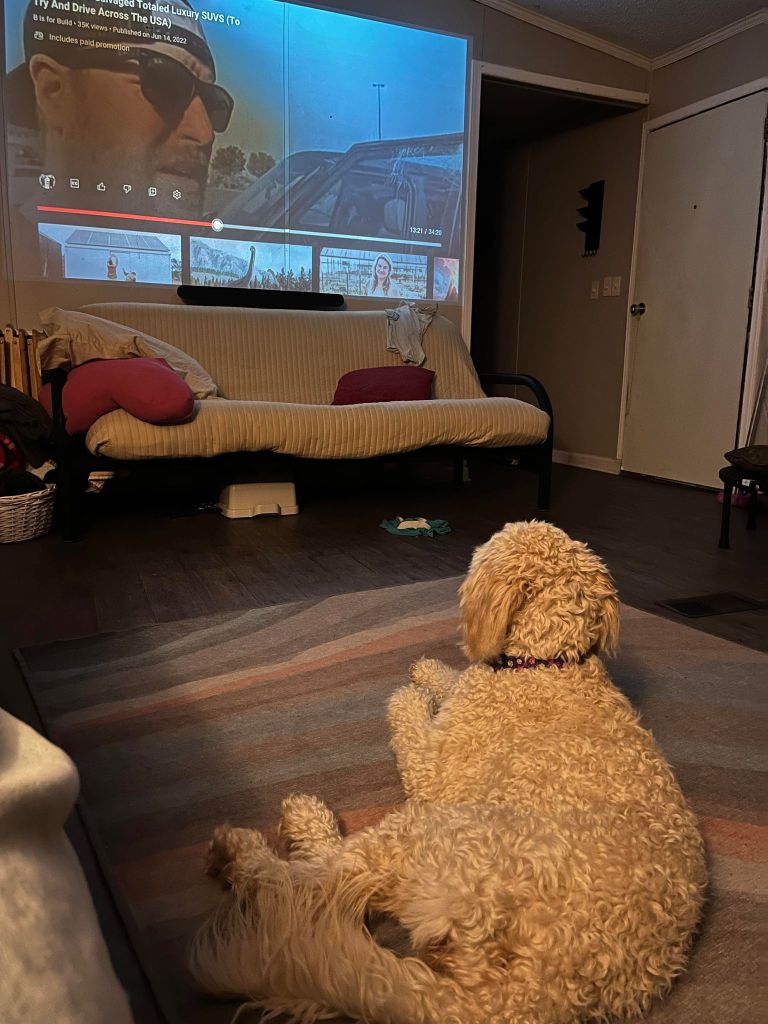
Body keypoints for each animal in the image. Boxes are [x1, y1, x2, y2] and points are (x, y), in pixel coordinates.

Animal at [190, 521, 706, 1023]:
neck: (548, 665)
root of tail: (536, 990)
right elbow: (453, 677)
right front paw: (430, 669)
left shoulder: (432, 765)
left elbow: (409, 717)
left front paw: (410, 694)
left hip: (426, 835)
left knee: (306, 879)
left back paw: (261, 840)